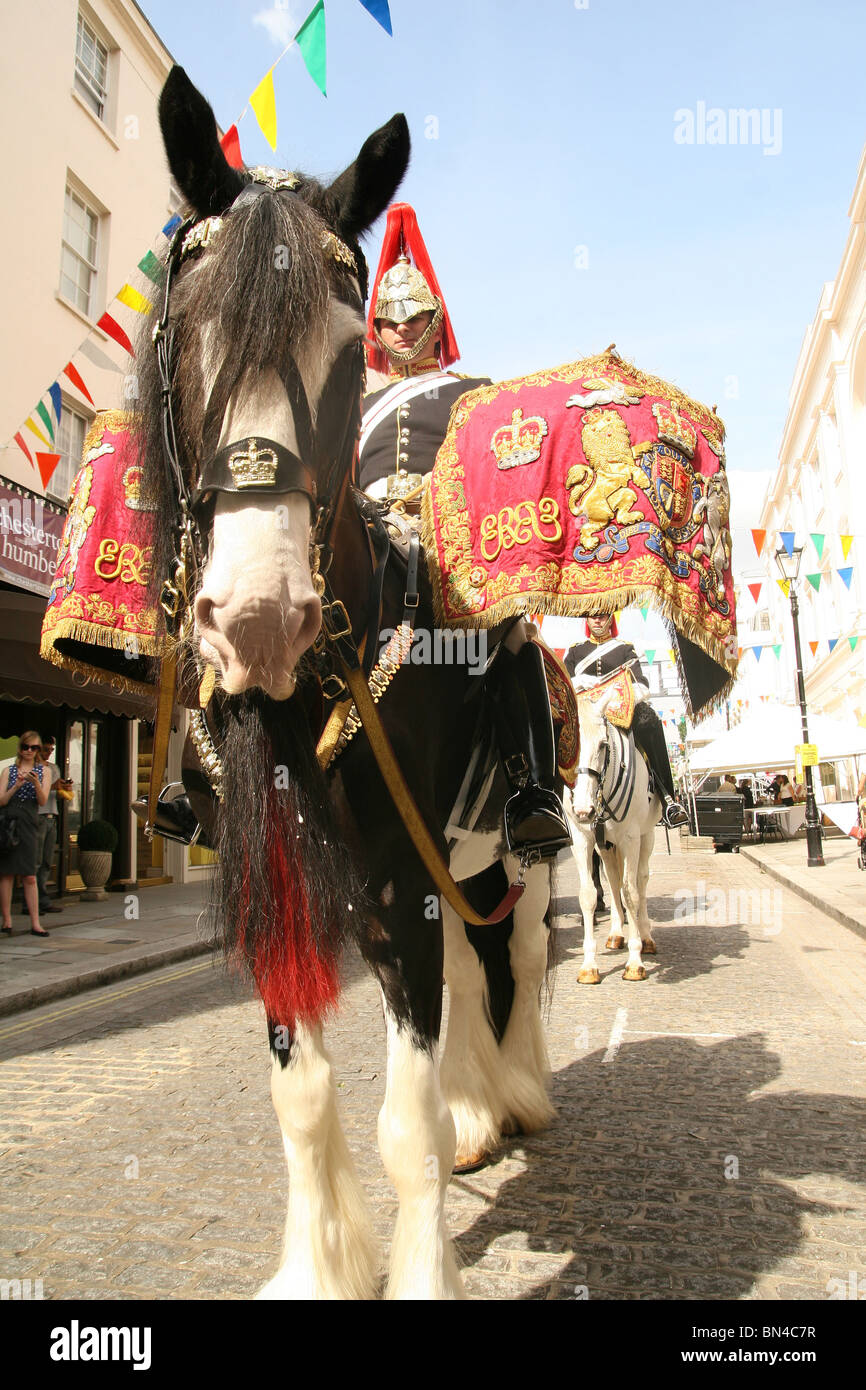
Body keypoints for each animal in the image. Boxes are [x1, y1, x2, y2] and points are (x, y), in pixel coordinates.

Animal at [136, 67, 556, 1301]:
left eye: (342, 341)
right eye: (187, 328)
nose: (259, 617)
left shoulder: (397, 890)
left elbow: (399, 1127)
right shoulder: (284, 886)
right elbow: (304, 1096)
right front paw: (321, 1267)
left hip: (515, 848)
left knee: (513, 950)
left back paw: (516, 1093)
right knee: (472, 965)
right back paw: (481, 1110)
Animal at [567, 689, 661, 984]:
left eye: (602, 745)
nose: (583, 809)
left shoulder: (631, 838)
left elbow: (631, 893)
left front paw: (635, 962)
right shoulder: (582, 840)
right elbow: (588, 895)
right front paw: (588, 966)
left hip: (647, 836)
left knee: (640, 880)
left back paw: (646, 936)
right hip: (607, 847)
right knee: (613, 878)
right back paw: (617, 933)